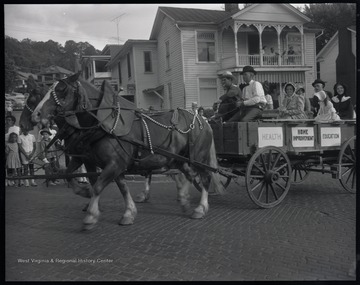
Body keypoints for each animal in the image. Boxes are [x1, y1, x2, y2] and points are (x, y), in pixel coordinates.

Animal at [33, 72, 225, 229]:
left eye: (62, 89)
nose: (36, 114)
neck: (103, 124)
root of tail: (204, 120)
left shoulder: (113, 163)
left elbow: (99, 185)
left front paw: (91, 216)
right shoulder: (105, 162)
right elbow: (113, 185)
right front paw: (127, 212)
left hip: (198, 157)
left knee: (205, 177)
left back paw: (200, 208)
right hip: (179, 159)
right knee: (189, 175)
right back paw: (185, 200)